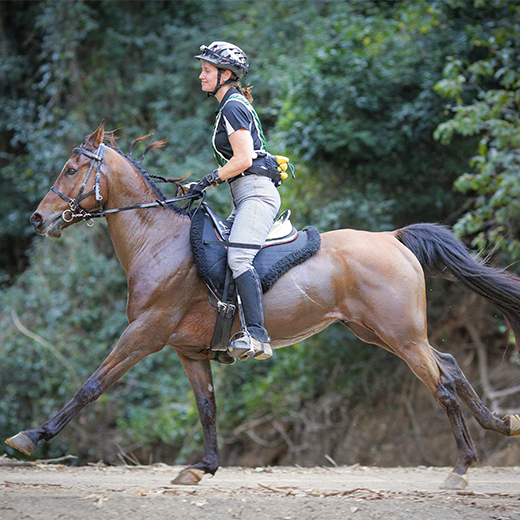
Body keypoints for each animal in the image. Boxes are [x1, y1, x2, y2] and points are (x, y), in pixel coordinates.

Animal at [5, 122, 520, 488]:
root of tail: (392, 238)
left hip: (400, 334)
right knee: (450, 364)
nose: (38, 219)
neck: (158, 242)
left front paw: (31, 437)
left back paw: (461, 468)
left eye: (72, 170)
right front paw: (204, 466)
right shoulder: (187, 351)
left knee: (443, 385)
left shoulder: (144, 332)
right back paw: (500, 425)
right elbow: (207, 408)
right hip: (382, 332)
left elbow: (91, 386)